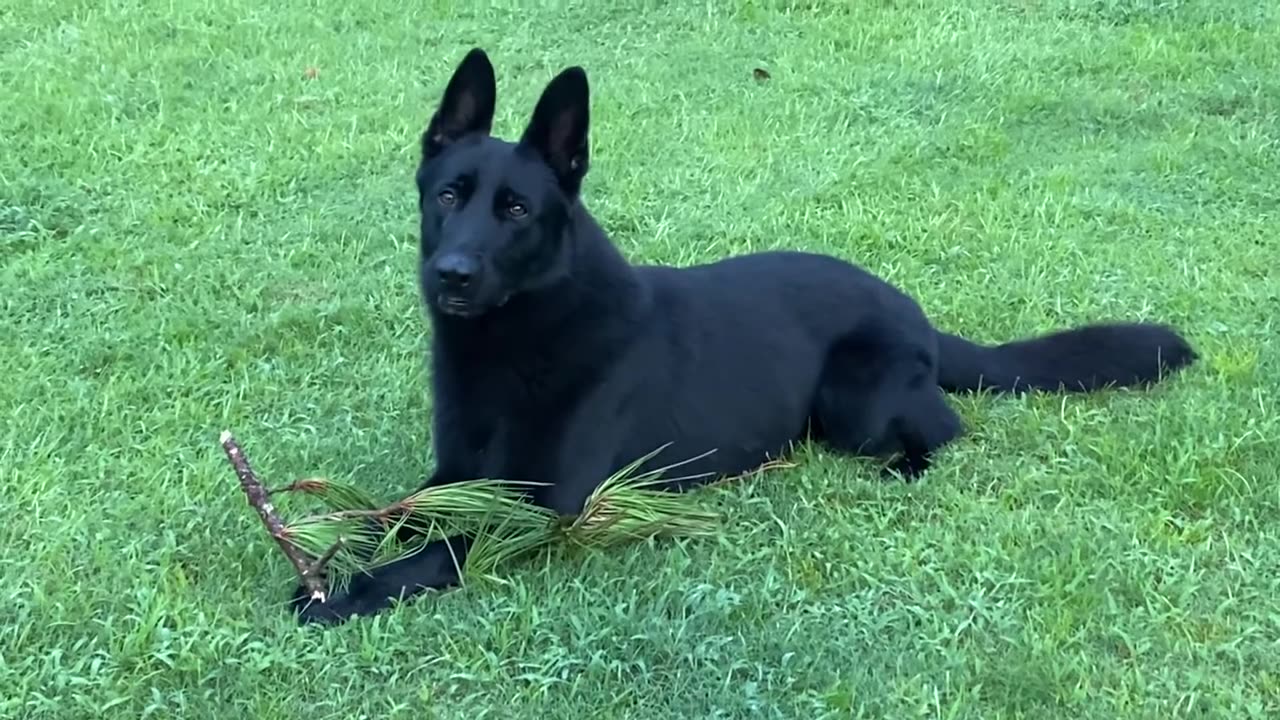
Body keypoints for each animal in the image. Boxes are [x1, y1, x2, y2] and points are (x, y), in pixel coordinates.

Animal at [290, 49, 1187, 622]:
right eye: (449, 195)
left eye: (514, 210)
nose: (452, 276)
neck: (521, 337)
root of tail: (912, 309)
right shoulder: (452, 477)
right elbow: (386, 516)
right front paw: (328, 553)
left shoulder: (545, 508)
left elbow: (443, 549)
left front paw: (352, 592)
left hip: (854, 401)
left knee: (944, 425)